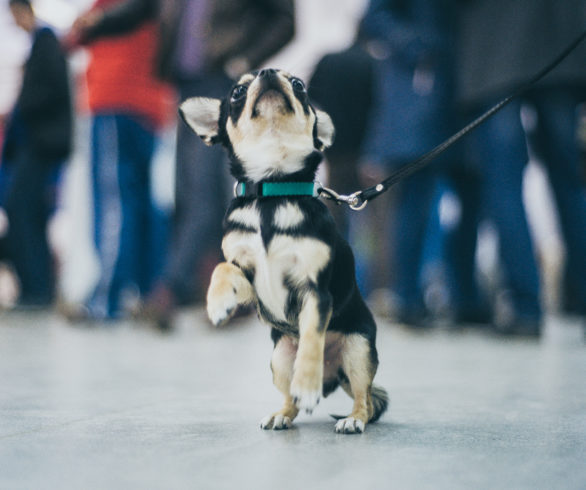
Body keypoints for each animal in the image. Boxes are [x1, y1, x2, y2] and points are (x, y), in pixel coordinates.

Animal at [178, 68, 388, 432]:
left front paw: (307, 384)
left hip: (358, 350)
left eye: (299, 85)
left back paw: (350, 418)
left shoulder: (315, 291)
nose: (267, 72)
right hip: (278, 360)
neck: (272, 190)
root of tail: (333, 377)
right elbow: (222, 266)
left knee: (363, 398)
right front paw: (218, 303)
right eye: (238, 91)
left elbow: (312, 338)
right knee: (289, 398)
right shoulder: (254, 284)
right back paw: (281, 415)